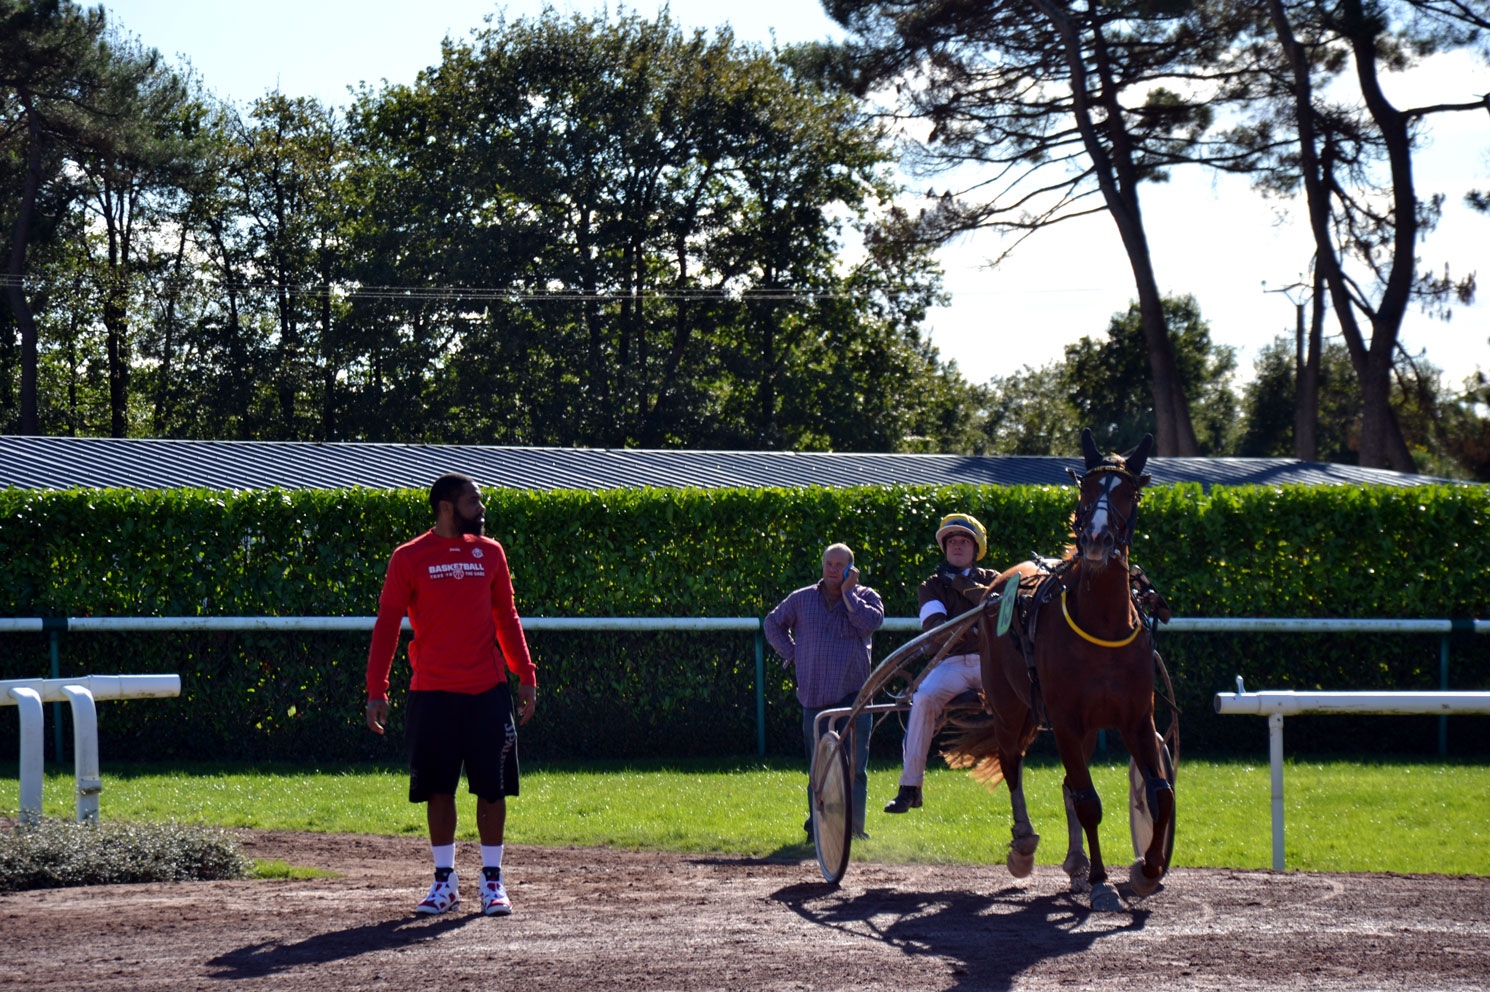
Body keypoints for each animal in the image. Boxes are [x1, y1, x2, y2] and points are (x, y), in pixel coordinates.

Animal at [953, 428, 1174, 905]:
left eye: (1128, 492)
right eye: (1086, 488)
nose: (1096, 540)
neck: (1102, 623)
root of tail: (999, 584)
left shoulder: (1136, 718)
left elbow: (1160, 792)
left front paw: (1147, 870)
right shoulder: (1066, 718)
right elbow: (1089, 802)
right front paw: (1102, 882)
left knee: (1069, 784)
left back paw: (1075, 862)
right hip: (1009, 707)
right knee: (1012, 761)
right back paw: (1023, 844)